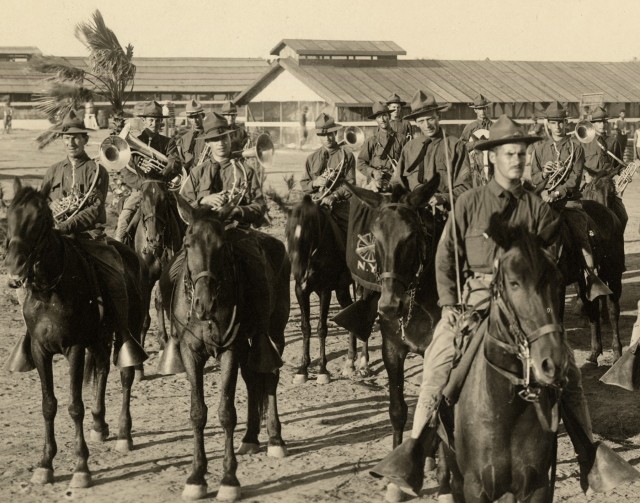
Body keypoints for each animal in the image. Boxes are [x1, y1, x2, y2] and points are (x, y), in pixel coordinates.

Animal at [5, 183, 148, 490]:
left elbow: (74, 406)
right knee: (103, 370)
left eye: (41, 219)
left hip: (125, 332)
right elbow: (48, 405)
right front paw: (45, 464)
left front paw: (81, 467)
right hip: (99, 340)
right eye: (9, 215)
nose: (13, 265)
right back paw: (99, 425)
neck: (51, 292)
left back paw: (124, 434)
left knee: (126, 375)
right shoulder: (41, 350)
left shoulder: (74, 349)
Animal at [160, 196, 290, 500]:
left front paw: (229, 479)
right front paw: (196, 476)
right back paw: (251, 438)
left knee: (270, 378)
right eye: (187, 243)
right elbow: (198, 413)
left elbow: (226, 413)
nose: (204, 304)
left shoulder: (230, 349)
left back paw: (275, 438)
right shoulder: (191, 353)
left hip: (274, 332)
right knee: (253, 379)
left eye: (222, 246)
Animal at [286, 195, 370, 384]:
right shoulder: (301, 290)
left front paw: (322, 370)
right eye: (288, 232)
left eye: (308, 233)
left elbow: (321, 328)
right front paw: (303, 369)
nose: (298, 271)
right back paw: (350, 363)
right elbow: (305, 327)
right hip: (342, 290)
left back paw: (364, 363)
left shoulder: (325, 291)